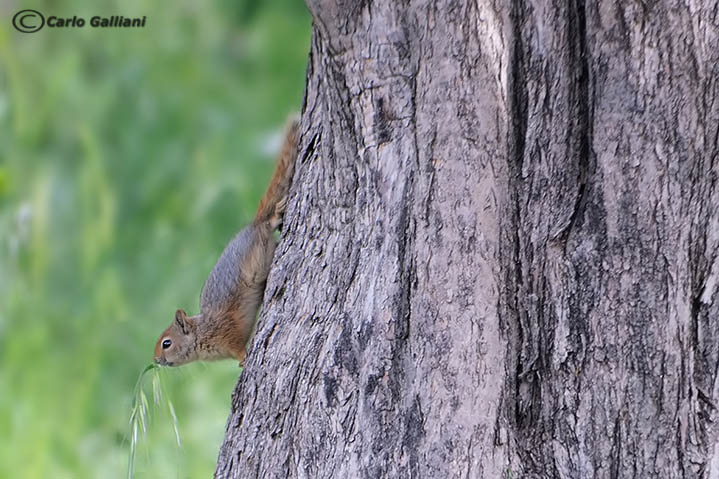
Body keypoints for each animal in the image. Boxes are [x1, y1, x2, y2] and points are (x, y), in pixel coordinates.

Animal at [153, 120, 300, 368]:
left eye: (167, 343)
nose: (155, 360)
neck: (201, 333)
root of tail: (251, 226)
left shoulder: (227, 333)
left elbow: (238, 347)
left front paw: (243, 359)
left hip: (257, 258)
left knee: (267, 226)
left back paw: (275, 216)